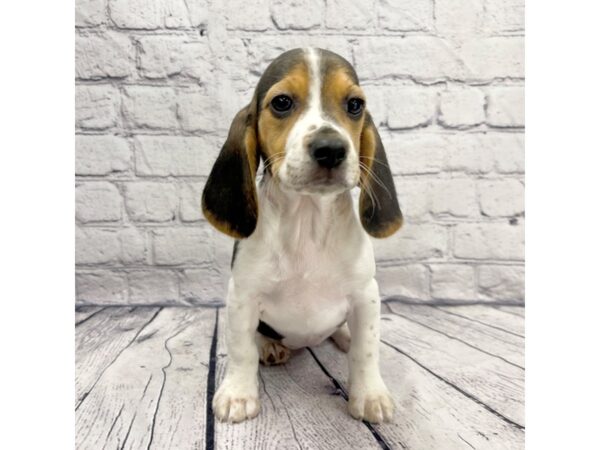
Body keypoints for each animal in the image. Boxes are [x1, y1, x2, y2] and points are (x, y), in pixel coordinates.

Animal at [202, 47, 404, 424]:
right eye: (281, 102)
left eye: (355, 105)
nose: (331, 149)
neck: (307, 222)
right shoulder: (242, 295)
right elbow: (241, 349)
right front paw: (237, 395)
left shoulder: (366, 294)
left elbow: (366, 350)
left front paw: (369, 395)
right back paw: (271, 346)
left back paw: (343, 336)